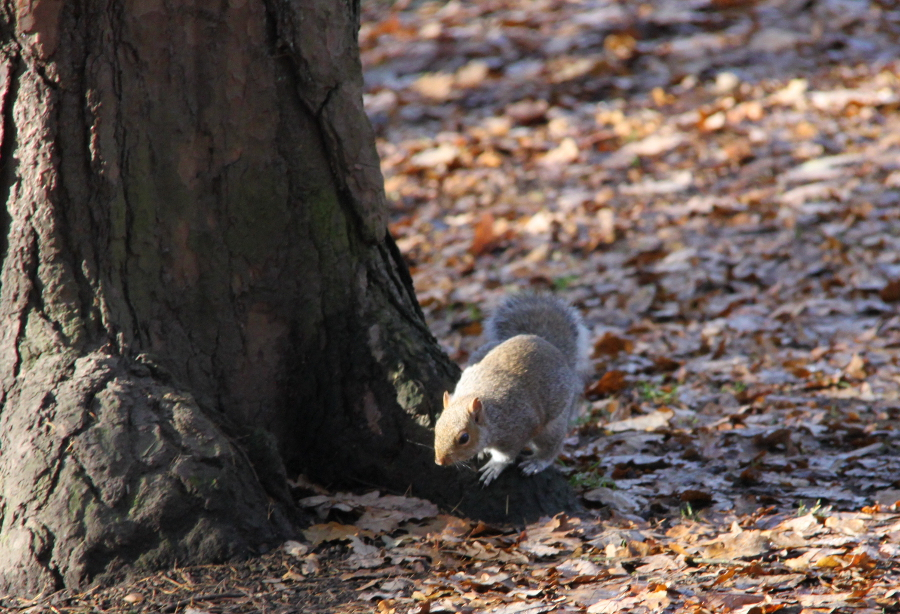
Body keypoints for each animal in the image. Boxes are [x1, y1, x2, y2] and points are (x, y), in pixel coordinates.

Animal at [434, 294, 590, 485]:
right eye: (436, 426)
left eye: (464, 438)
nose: (439, 461)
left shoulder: (518, 428)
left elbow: (507, 455)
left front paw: (495, 466)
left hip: (554, 422)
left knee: (552, 445)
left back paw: (538, 462)